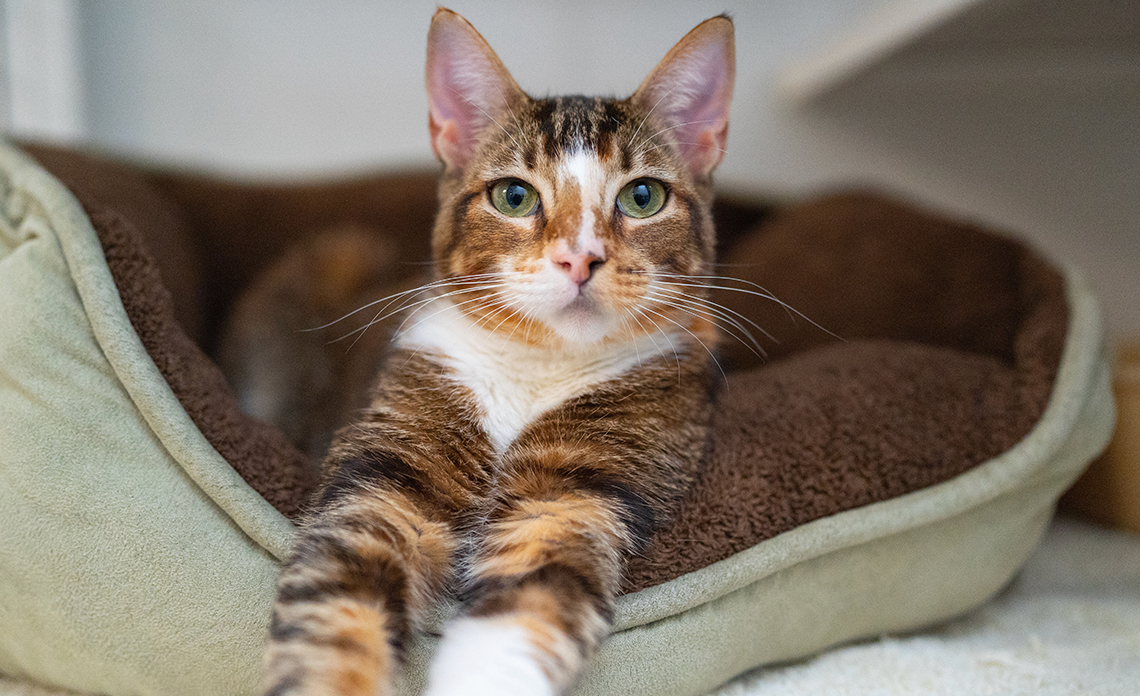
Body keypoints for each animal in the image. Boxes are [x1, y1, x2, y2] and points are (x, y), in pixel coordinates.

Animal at [243, 6, 734, 696]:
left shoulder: (581, 490)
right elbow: (342, 585)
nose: (579, 258)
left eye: (643, 197)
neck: (536, 366)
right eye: (513, 196)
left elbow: (530, 597)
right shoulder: (393, 461)